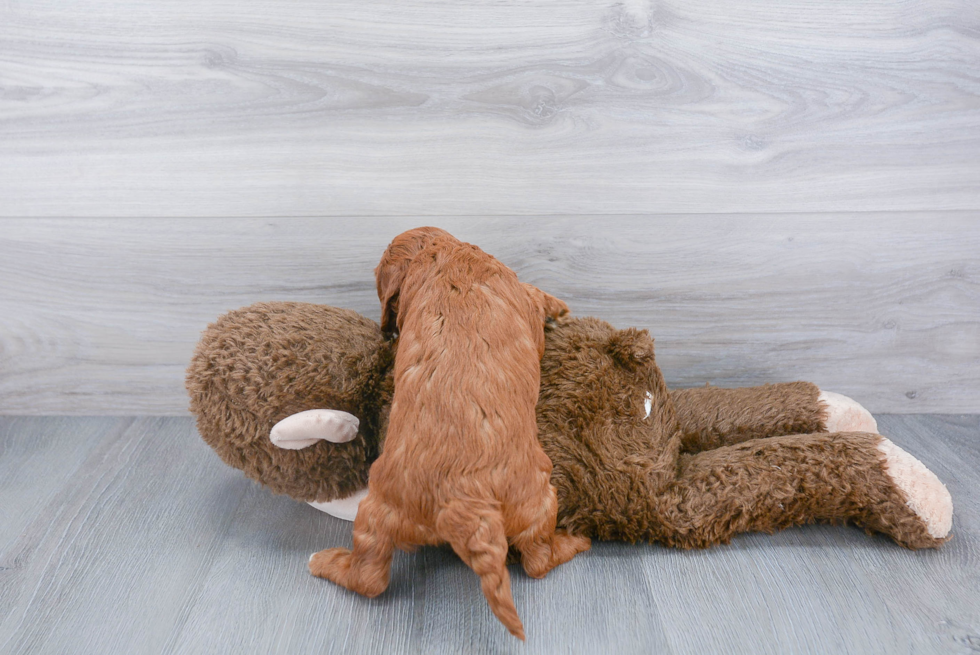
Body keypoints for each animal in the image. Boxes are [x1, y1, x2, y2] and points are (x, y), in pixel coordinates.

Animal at [310, 227, 588, 640]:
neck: (445, 254)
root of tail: (464, 502)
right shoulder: (522, 297)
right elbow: (537, 300)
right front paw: (558, 308)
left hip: (378, 509)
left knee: (371, 577)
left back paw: (326, 562)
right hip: (539, 499)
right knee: (537, 559)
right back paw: (574, 542)